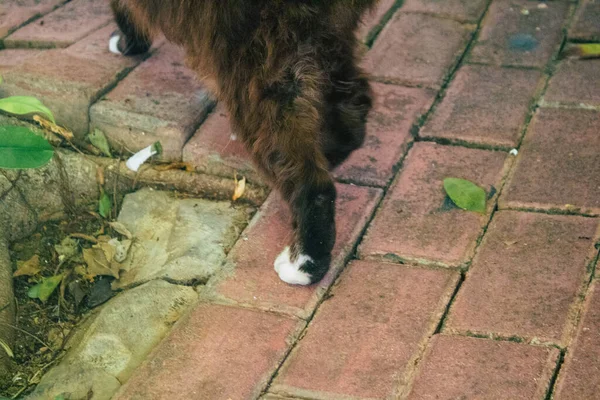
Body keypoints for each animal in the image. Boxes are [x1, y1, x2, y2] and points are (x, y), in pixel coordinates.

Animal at [108, 1, 376, 286]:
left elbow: (122, 11)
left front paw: (127, 43)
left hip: (253, 69)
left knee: (313, 183)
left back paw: (304, 264)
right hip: (326, 40)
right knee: (354, 106)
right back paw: (330, 153)